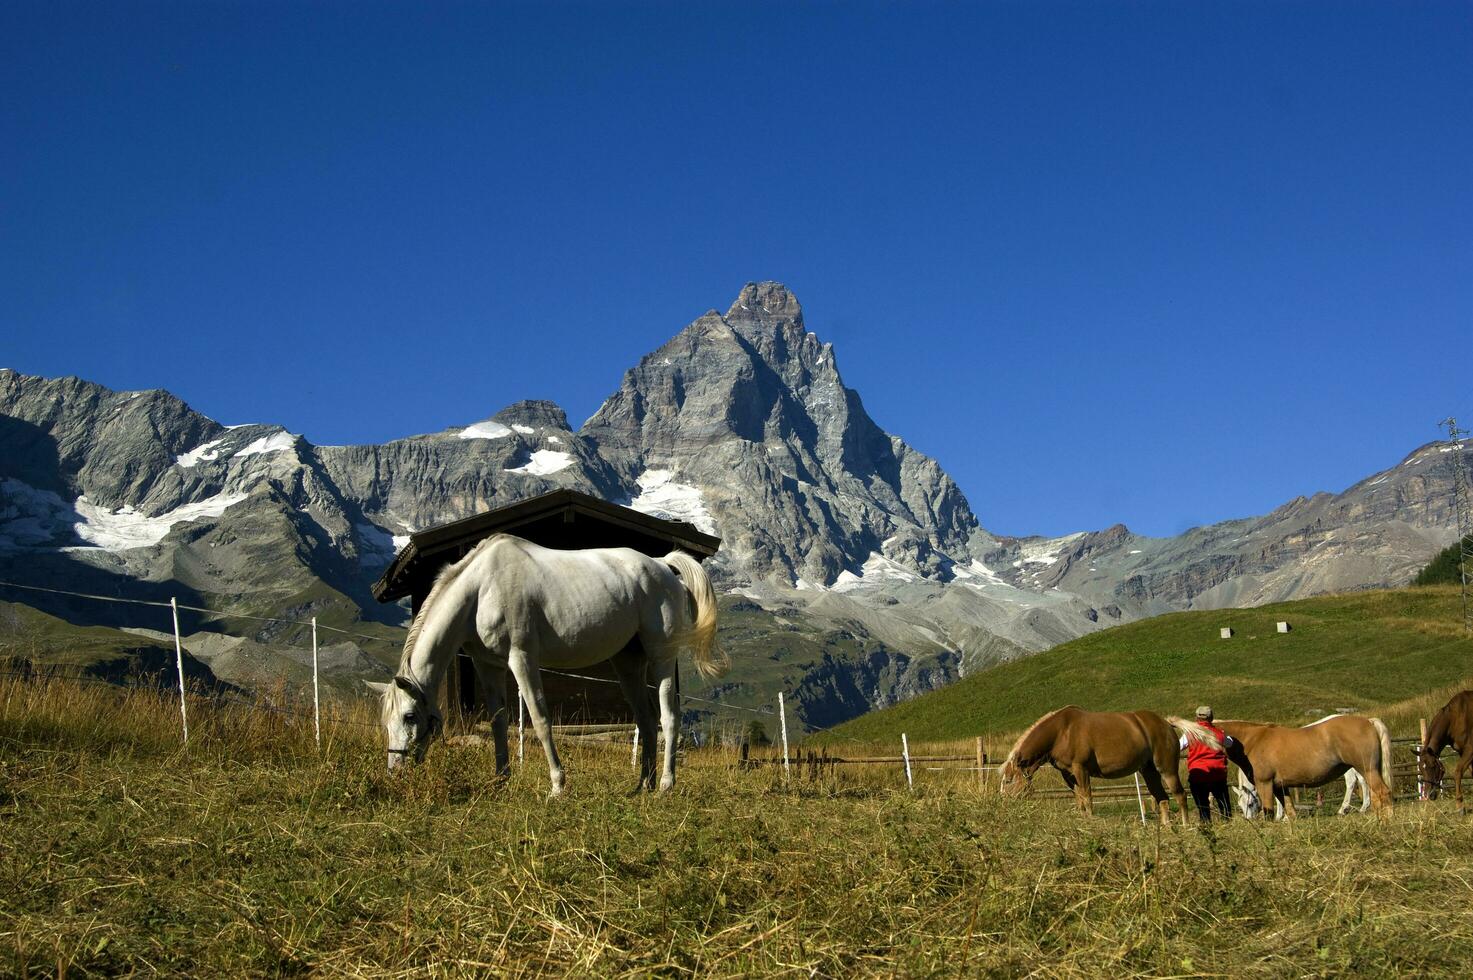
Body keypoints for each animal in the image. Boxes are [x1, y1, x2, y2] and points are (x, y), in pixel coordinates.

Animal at [371, 536, 727, 795]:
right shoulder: (488, 665)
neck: (482, 588)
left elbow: (540, 720)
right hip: (628, 665)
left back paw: (666, 784)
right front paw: (500, 779)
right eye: (385, 721)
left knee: (669, 718)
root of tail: (662, 565)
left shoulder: (522, 658)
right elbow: (499, 722)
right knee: (647, 720)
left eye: (409, 716)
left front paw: (557, 785)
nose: (395, 773)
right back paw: (642, 786)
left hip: (661, 657)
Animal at [1001, 704, 1219, 825]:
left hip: (1166, 769)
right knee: (1163, 798)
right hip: (1149, 772)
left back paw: (1185, 826)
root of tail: (1166, 723)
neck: (1061, 731)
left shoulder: (1081, 769)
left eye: (1009, 781)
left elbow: (1087, 797)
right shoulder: (1068, 774)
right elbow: (1079, 799)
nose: (1003, 804)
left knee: (1180, 795)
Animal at [1219, 710, 1390, 819]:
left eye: (1249, 804)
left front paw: (1279, 818)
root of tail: (1368, 721)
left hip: (1365, 768)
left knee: (1373, 789)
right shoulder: (1280, 785)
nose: (1250, 820)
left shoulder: (1265, 783)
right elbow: (1289, 807)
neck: (1254, 740)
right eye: (1240, 806)